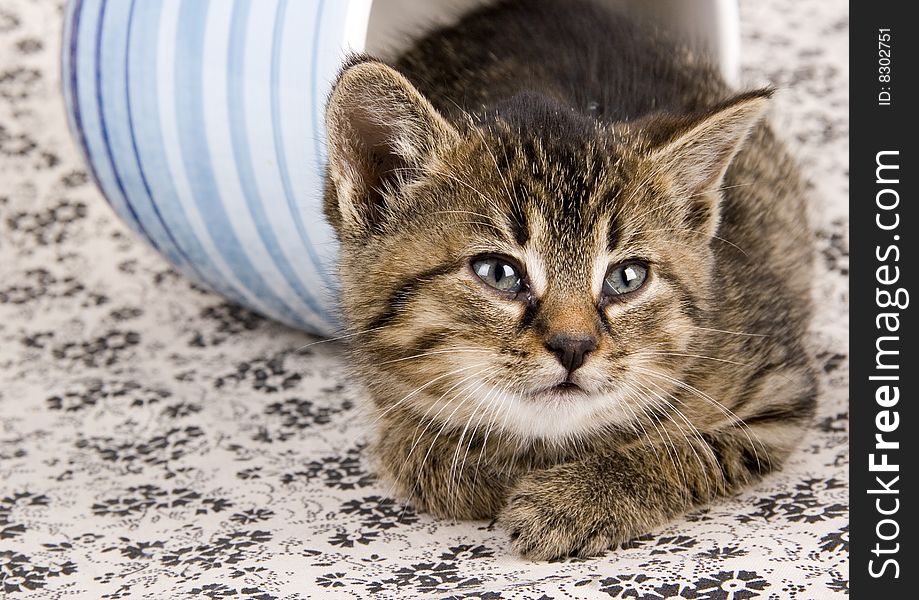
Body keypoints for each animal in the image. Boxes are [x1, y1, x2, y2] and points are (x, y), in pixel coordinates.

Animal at [320, 0, 816, 564]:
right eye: (498, 272)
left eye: (626, 277)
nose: (574, 346)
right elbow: (406, 454)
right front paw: (470, 467)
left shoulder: (779, 390)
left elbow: (687, 449)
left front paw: (572, 501)